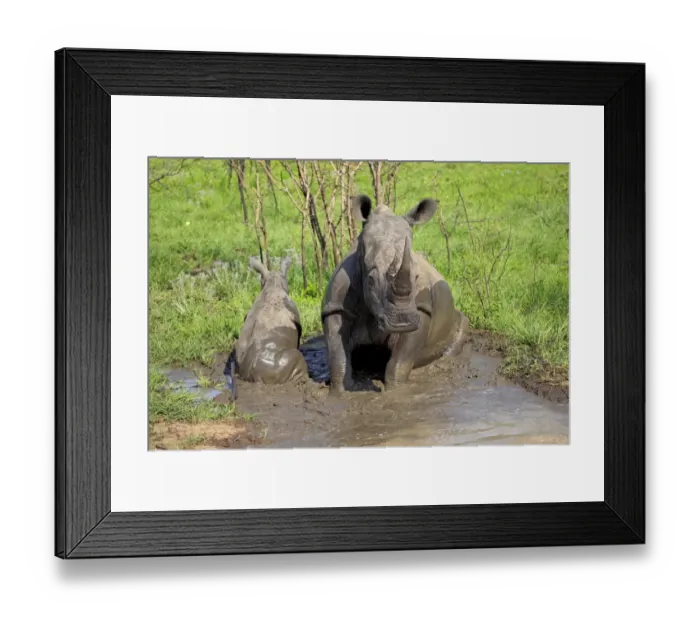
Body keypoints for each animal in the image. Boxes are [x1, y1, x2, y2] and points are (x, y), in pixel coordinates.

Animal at [321, 195, 469, 394]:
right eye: (370, 280)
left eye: (416, 277)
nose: (402, 321)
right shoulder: (335, 304)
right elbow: (337, 352)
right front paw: (340, 392)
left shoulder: (421, 309)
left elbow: (401, 359)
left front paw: (396, 392)